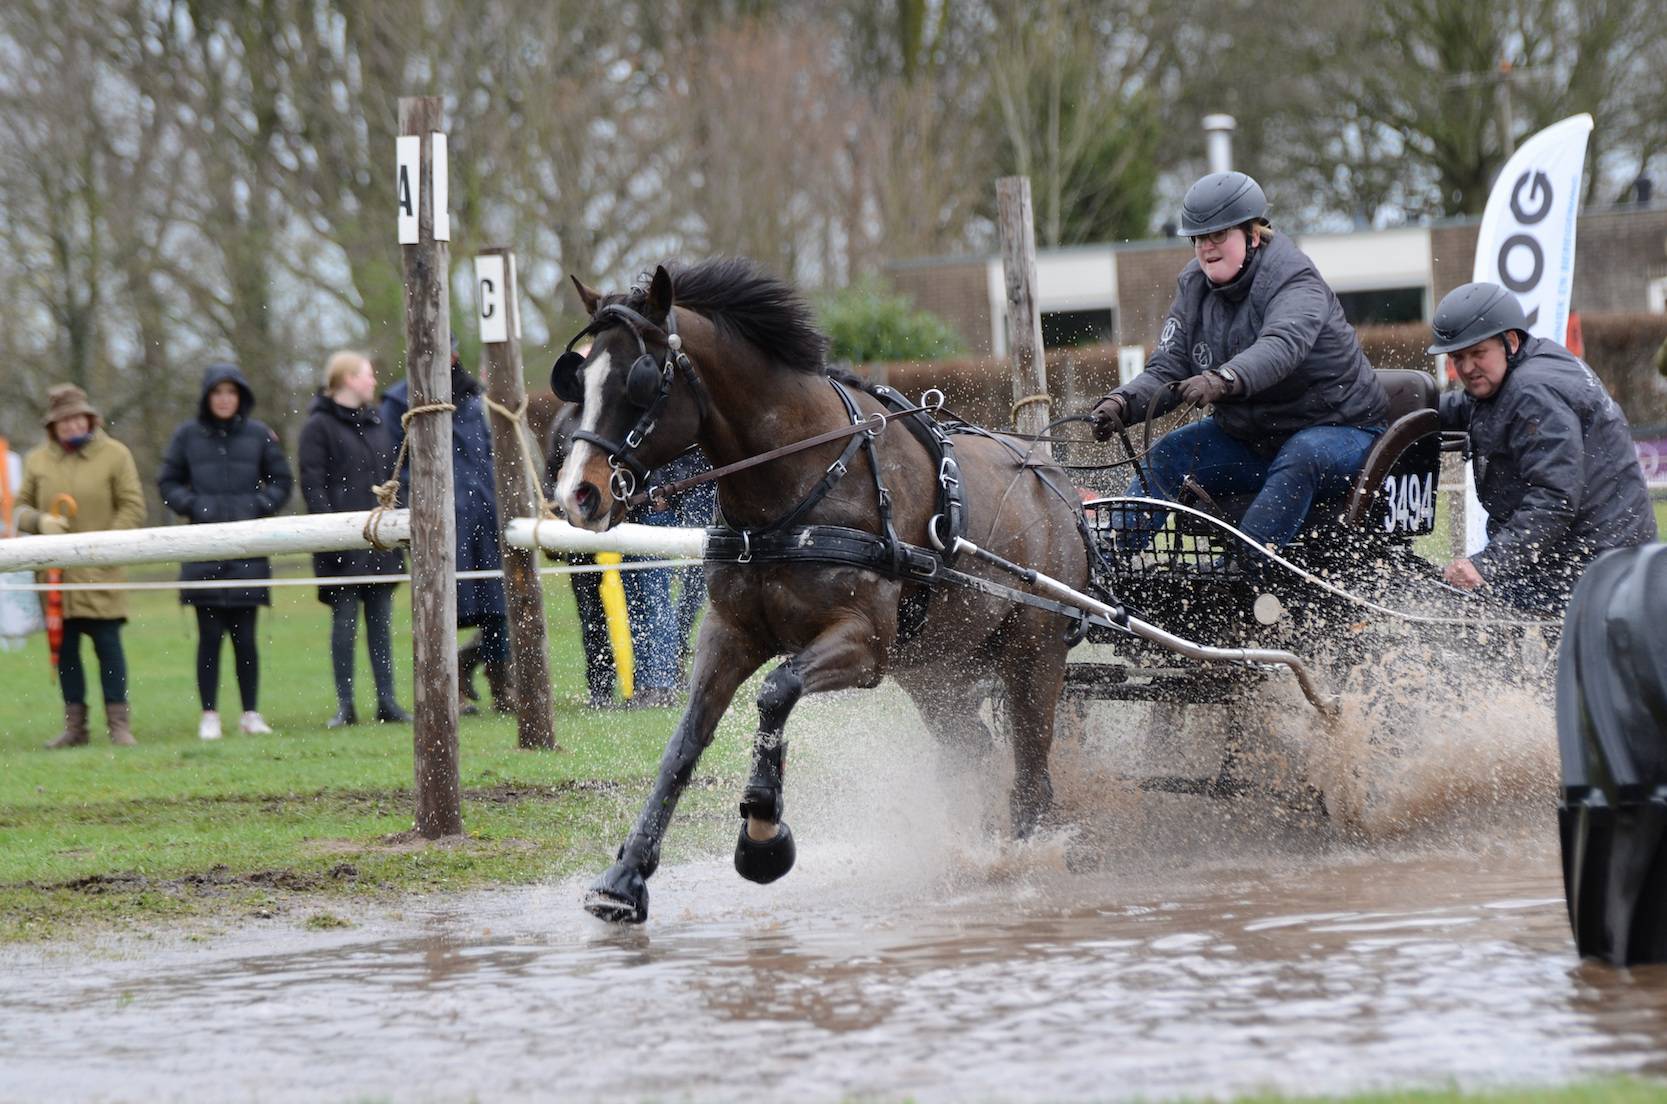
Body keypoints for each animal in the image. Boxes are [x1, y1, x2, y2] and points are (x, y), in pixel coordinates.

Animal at [553, 260, 1086, 927]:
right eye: (579, 377)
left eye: (642, 380)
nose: (576, 494)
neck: (799, 484)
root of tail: (1058, 485)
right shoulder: (729, 633)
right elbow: (684, 744)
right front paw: (625, 878)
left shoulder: (863, 643)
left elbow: (776, 692)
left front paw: (761, 834)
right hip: (937, 672)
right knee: (976, 750)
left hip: (1034, 660)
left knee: (1032, 774)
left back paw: (1020, 865)